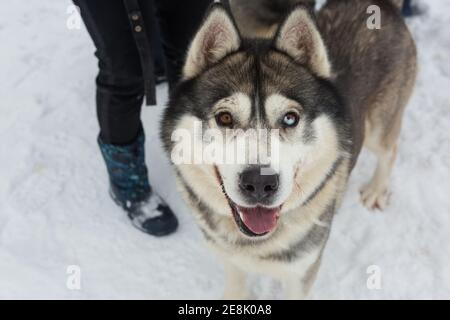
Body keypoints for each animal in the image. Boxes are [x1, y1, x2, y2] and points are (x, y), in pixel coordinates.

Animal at [160, 0, 416, 300]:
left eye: (290, 118)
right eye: (224, 118)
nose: (260, 183)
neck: (254, 243)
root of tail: (384, 5)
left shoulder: (301, 273)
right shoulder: (228, 256)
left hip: (378, 128)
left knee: (389, 150)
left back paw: (376, 190)